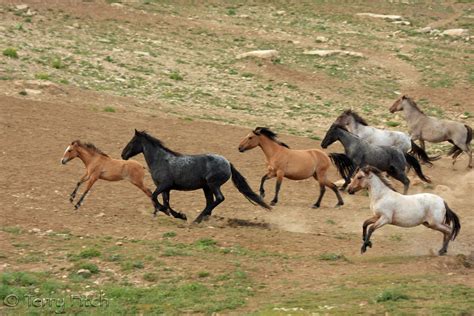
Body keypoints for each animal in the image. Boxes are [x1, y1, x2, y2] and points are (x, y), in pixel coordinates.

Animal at [121, 130, 270, 223]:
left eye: (132, 141)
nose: (123, 155)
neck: (161, 160)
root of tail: (227, 162)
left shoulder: (164, 185)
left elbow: (154, 197)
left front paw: (175, 214)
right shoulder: (165, 188)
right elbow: (165, 202)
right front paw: (177, 215)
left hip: (213, 184)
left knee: (219, 199)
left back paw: (197, 219)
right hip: (206, 187)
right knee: (210, 202)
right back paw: (201, 218)